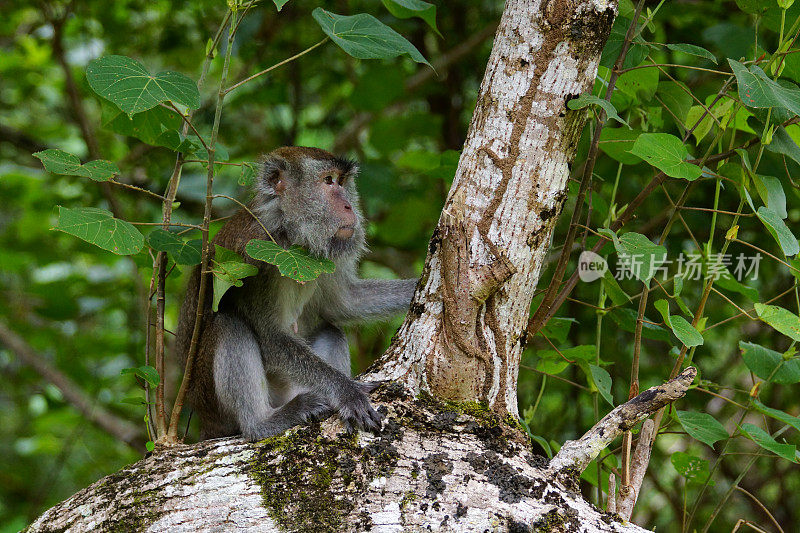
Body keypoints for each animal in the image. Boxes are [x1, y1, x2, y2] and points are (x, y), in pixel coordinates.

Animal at [177, 145, 418, 440]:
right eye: (328, 181)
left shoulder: (325, 258)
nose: (349, 206)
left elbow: (343, 304)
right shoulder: (255, 259)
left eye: (341, 182)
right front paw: (347, 392)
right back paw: (262, 423)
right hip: (213, 403)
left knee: (330, 330)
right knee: (228, 324)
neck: (291, 238)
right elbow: (271, 337)